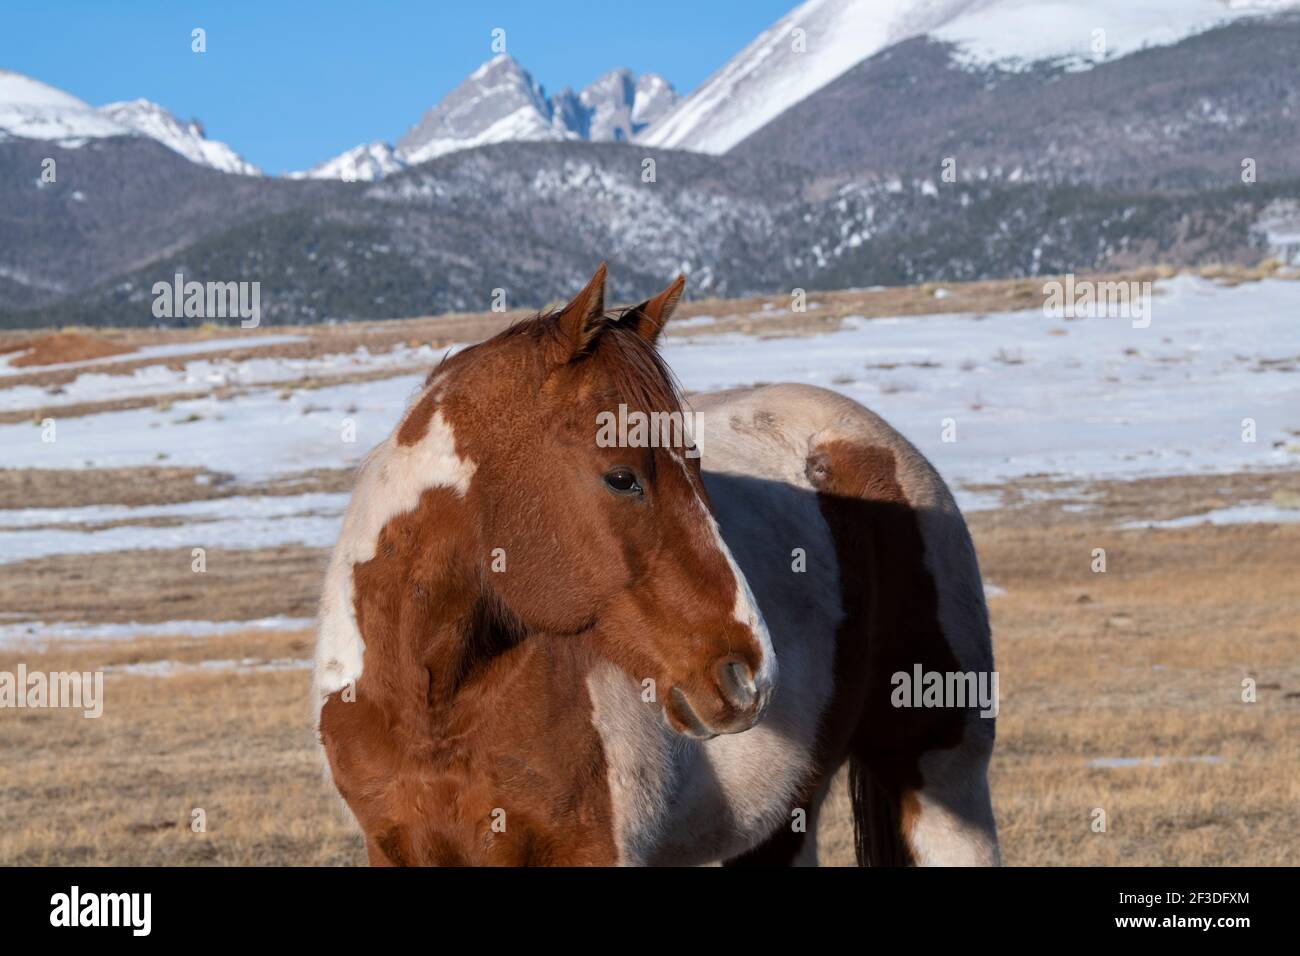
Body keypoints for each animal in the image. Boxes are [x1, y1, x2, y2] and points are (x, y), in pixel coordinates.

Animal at [312, 264, 999, 866]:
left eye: (697, 465)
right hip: (782, 821)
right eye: (622, 478)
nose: (748, 675)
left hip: (943, 781)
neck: (433, 706)